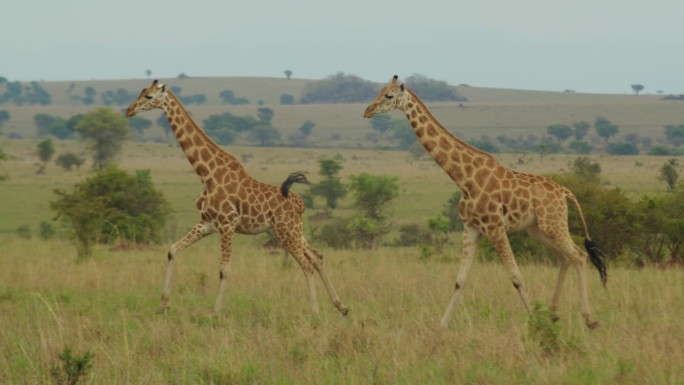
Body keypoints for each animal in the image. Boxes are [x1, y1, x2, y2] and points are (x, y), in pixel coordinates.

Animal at [124, 79, 348, 316]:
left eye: (148, 96)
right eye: (141, 92)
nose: (129, 110)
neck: (207, 174)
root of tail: (300, 204)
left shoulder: (227, 224)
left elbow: (225, 270)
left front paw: (214, 314)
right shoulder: (207, 223)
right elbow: (172, 250)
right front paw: (163, 305)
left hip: (286, 231)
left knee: (306, 264)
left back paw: (315, 312)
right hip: (294, 230)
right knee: (316, 256)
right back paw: (341, 306)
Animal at [366, 75, 608, 328]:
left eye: (389, 96)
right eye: (380, 91)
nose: (367, 111)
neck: (464, 179)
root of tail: (565, 192)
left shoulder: (495, 227)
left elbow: (516, 277)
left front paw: (534, 321)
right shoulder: (470, 228)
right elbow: (460, 280)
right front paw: (441, 325)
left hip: (553, 224)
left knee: (579, 256)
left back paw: (588, 319)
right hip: (537, 229)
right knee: (565, 258)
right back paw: (552, 313)